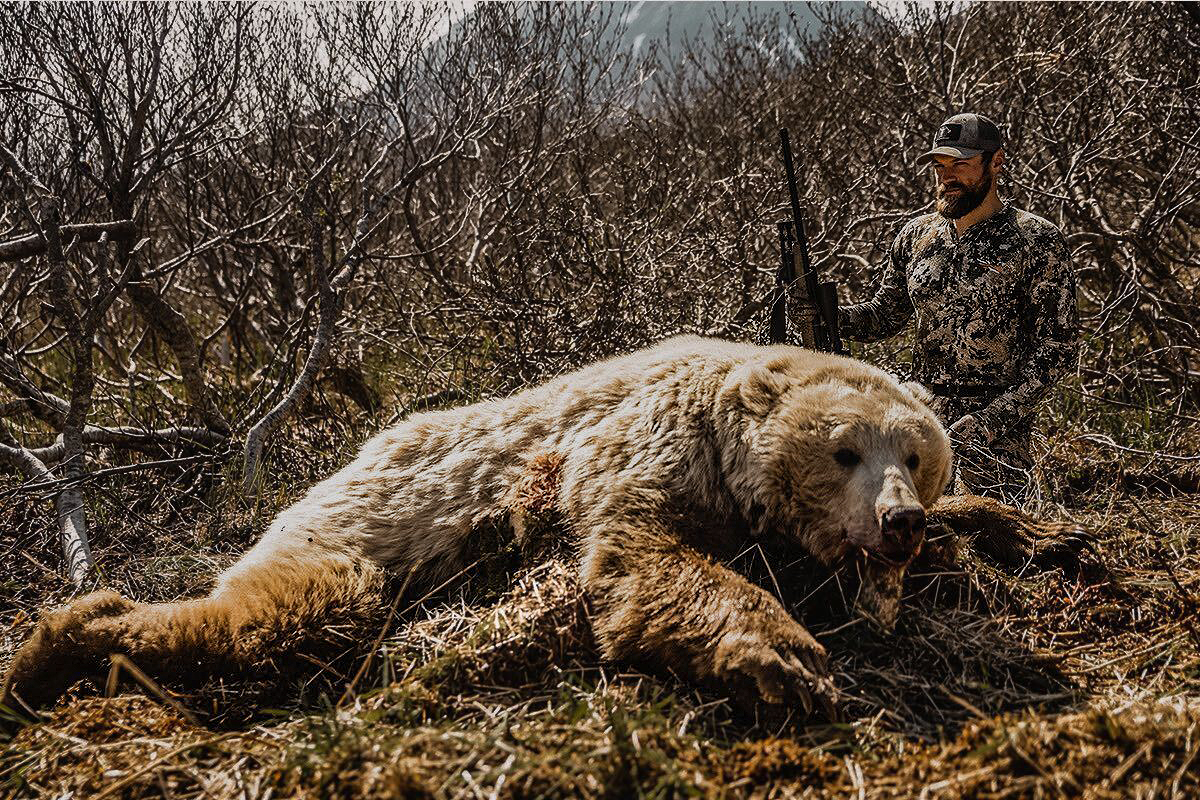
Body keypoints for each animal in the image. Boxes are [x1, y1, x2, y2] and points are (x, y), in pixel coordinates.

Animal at [2, 335, 955, 724]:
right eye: (844, 451)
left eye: (917, 458)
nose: (900, 522)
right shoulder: (644, 442)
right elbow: (639, 556)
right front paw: (788, 661)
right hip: (348, 527)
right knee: (286, 609)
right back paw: (55, 644)